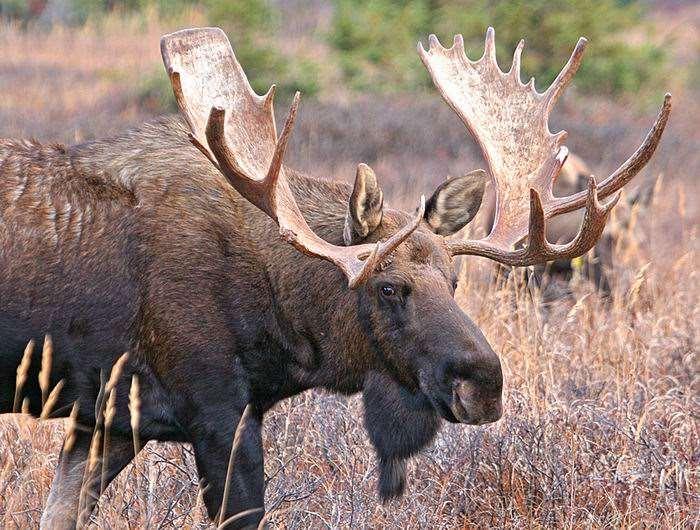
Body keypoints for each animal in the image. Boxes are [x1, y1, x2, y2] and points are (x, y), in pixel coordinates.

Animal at [0, 26, 668, 524]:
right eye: (388, 286)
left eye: (454, 282)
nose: (485, 383)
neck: (281, 325)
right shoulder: (216, 412)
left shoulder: (107, 420)